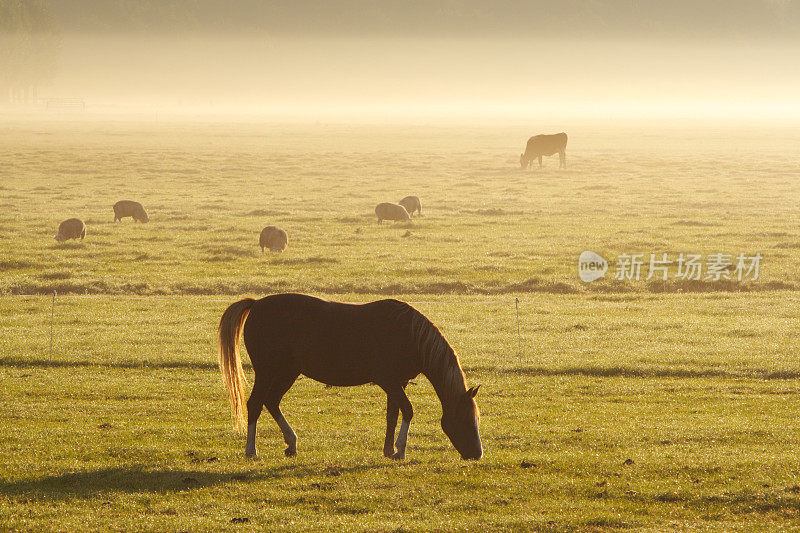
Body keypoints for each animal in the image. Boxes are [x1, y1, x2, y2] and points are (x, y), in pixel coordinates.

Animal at [217, 294, 482, 460]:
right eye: (466, 419)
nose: (477, 454)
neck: (408, 333)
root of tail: (256, 304)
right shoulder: (389, 381)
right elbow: (407, 410)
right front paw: (400, 450)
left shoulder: (398, 383)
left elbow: (392, 414)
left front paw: (388, 450)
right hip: (267, 371)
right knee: (255, 404)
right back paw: (251, 450)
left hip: (287, 372)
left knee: (271, 402)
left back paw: (291, 443)